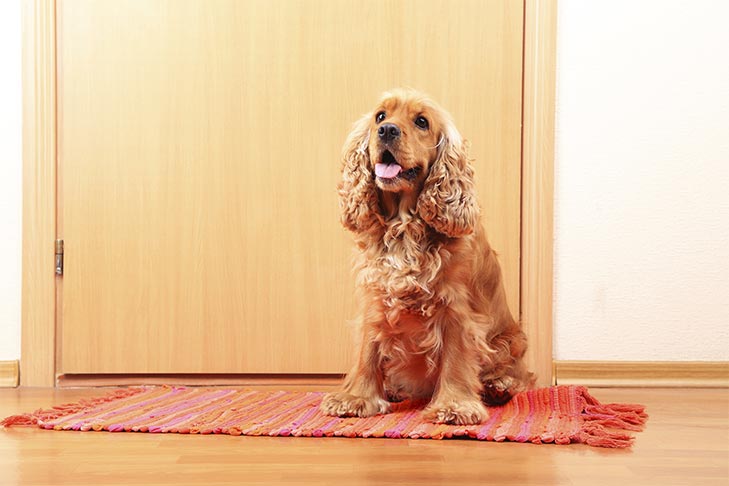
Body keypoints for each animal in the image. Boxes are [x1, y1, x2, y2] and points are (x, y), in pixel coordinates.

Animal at [320, 89, 536, 424]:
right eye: (380, 116)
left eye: (422, 122)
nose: (387, 131)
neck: (404, 226)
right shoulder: (375, 297)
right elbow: (367, 351)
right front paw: (357, 397)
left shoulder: (457, 309)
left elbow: (456, 359)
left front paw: (455, 405)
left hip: (511, 341)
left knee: (518, 376)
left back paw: (498, 386)